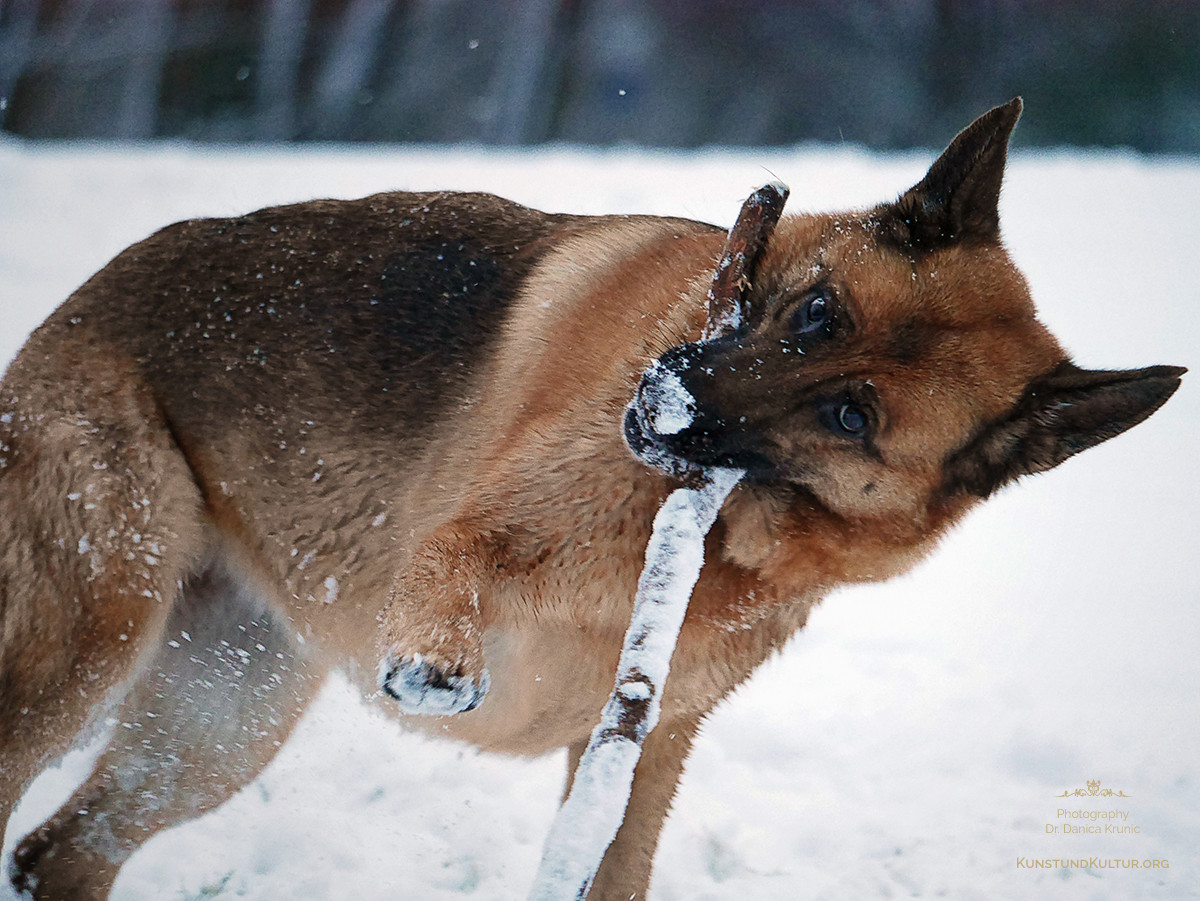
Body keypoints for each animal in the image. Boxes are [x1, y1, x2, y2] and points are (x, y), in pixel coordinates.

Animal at [0, 100, 1180, 901]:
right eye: (816, 312)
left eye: (852, 415)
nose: (661, 399)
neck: (727, 533)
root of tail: (93, 289)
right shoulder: (476, 529)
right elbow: (454, 551)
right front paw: (437, 655)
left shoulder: (645, 749)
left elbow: (615, 866)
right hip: (96, 634)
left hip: (224, 713)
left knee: (62, 853)